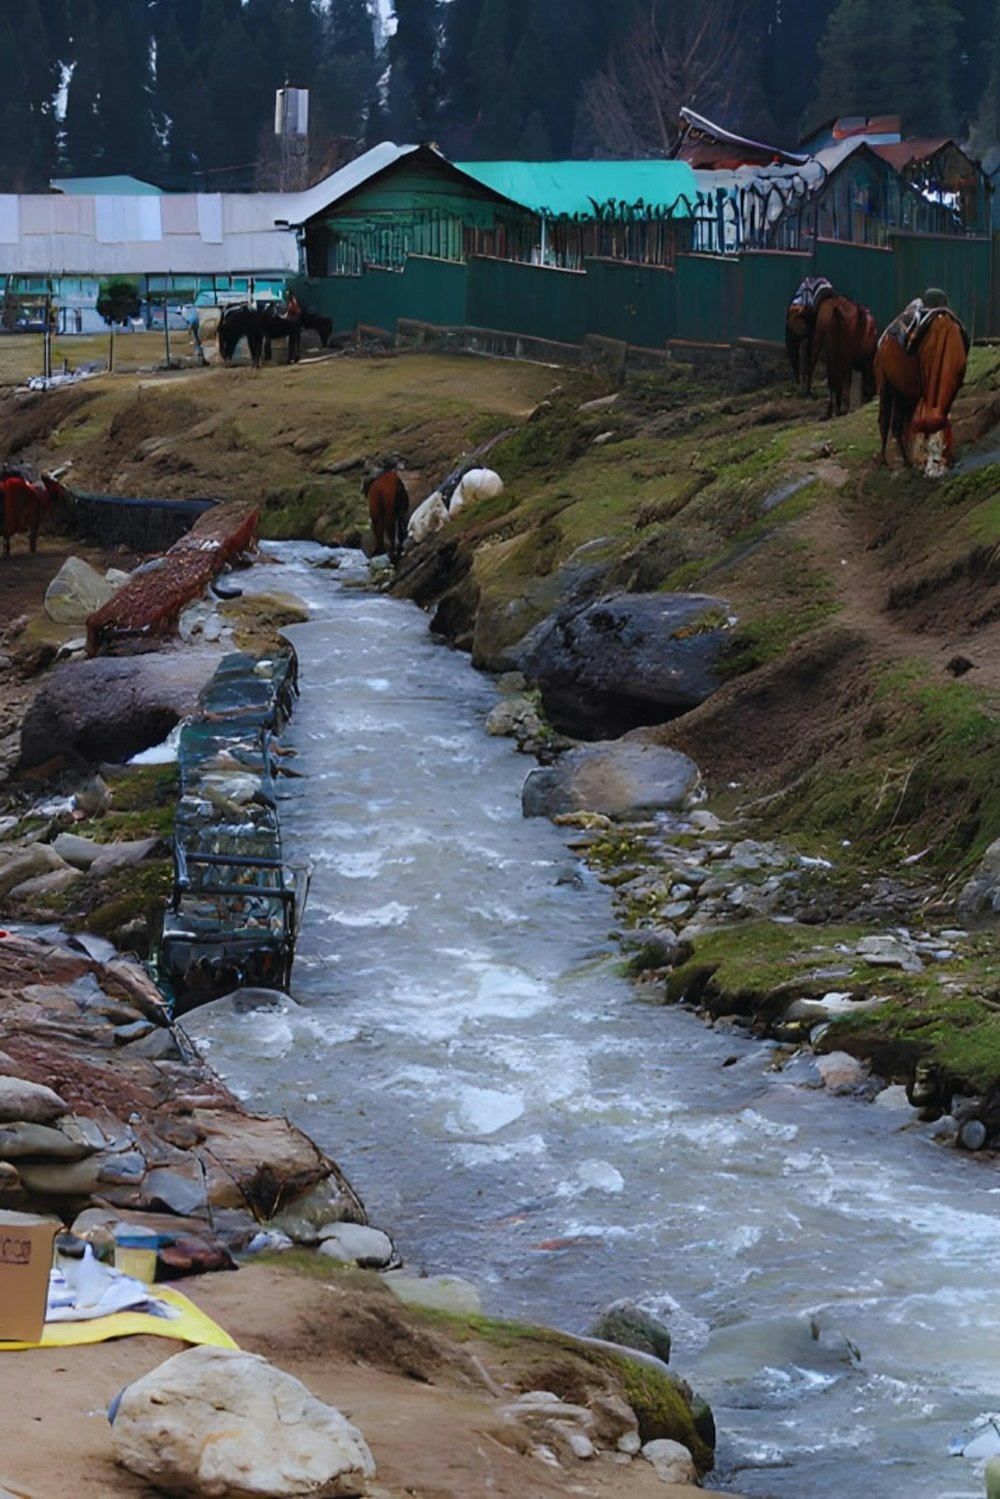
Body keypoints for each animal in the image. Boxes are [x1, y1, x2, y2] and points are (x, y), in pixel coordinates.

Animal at [875, 293, 971, 473]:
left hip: (903, 394)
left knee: (898, 425)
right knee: (885, 420)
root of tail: (884, 340)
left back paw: (906, 460)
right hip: (887, 387)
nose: (939, 460)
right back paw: (885, 460)